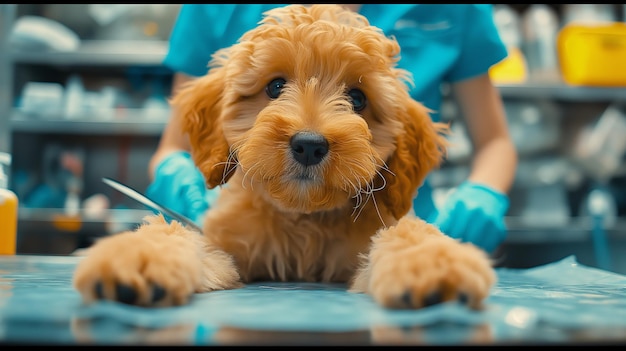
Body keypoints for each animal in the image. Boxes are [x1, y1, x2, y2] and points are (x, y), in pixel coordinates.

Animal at [72, 3, 492, 310]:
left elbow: (408, 233)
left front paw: (432, 262)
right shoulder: (225, 246)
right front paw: (139, 256)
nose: (309, 144)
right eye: (275, 87)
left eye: (358, 99)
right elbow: (181, 235)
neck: (303, 218)